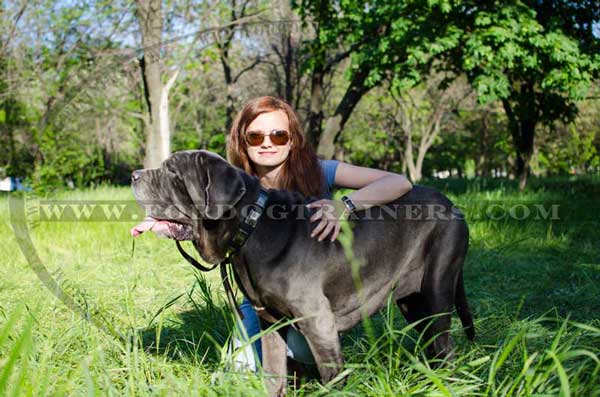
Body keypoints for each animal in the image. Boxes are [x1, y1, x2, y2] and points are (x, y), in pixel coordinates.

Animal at [130, 148, 474, 392]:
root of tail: (450, 202)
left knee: (446, 346)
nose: (134, 175)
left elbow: (332, 378)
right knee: (433, 344)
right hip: (412, 302)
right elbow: (273, 374)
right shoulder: (270, 323)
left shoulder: (318, 321)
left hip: (437, 286)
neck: (252, 225)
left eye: (172, 172)